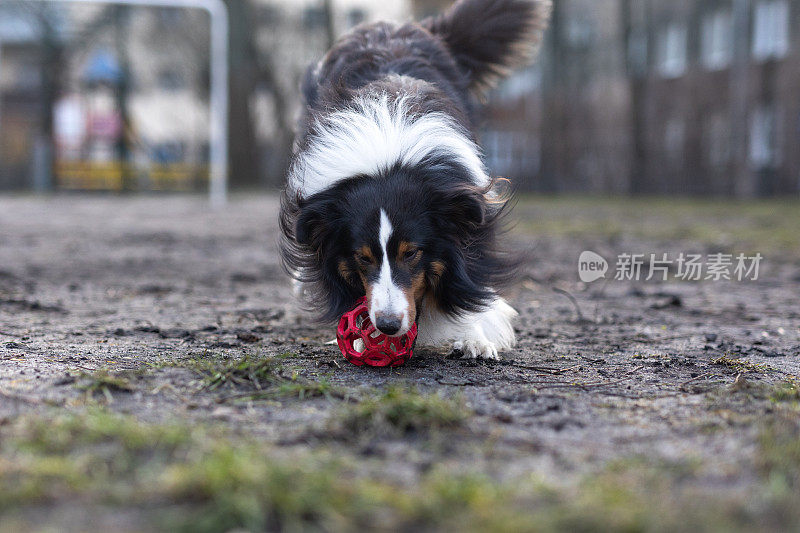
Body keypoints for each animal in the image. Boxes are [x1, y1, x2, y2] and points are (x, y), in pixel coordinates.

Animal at [280, 0, 552, 360]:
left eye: (411, 253)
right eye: (362, 257)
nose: (387, 326)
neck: (388, 159)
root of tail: (399, 26)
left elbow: (470, 282)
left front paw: (475, 337)